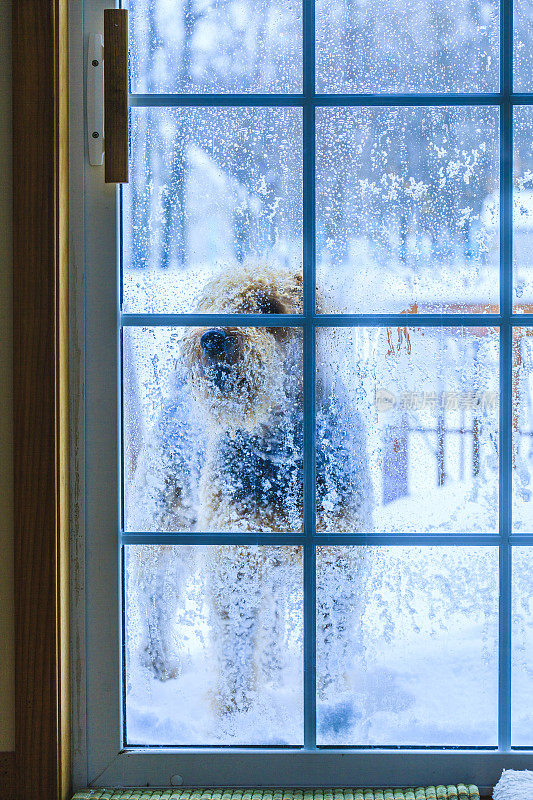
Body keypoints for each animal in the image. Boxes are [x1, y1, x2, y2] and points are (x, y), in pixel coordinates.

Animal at [127, 264, 372, 724]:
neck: (281, 448)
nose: (211, 337)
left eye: (270, 306)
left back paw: (273, 671)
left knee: (270, 620)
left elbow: (330, 639)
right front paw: (235, 714)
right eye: (212, 303)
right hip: (165, 526)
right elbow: (235, 645)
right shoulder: (235, 551)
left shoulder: (336, 554)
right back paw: (156, 666)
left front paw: (331, 702)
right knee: (155, 601)